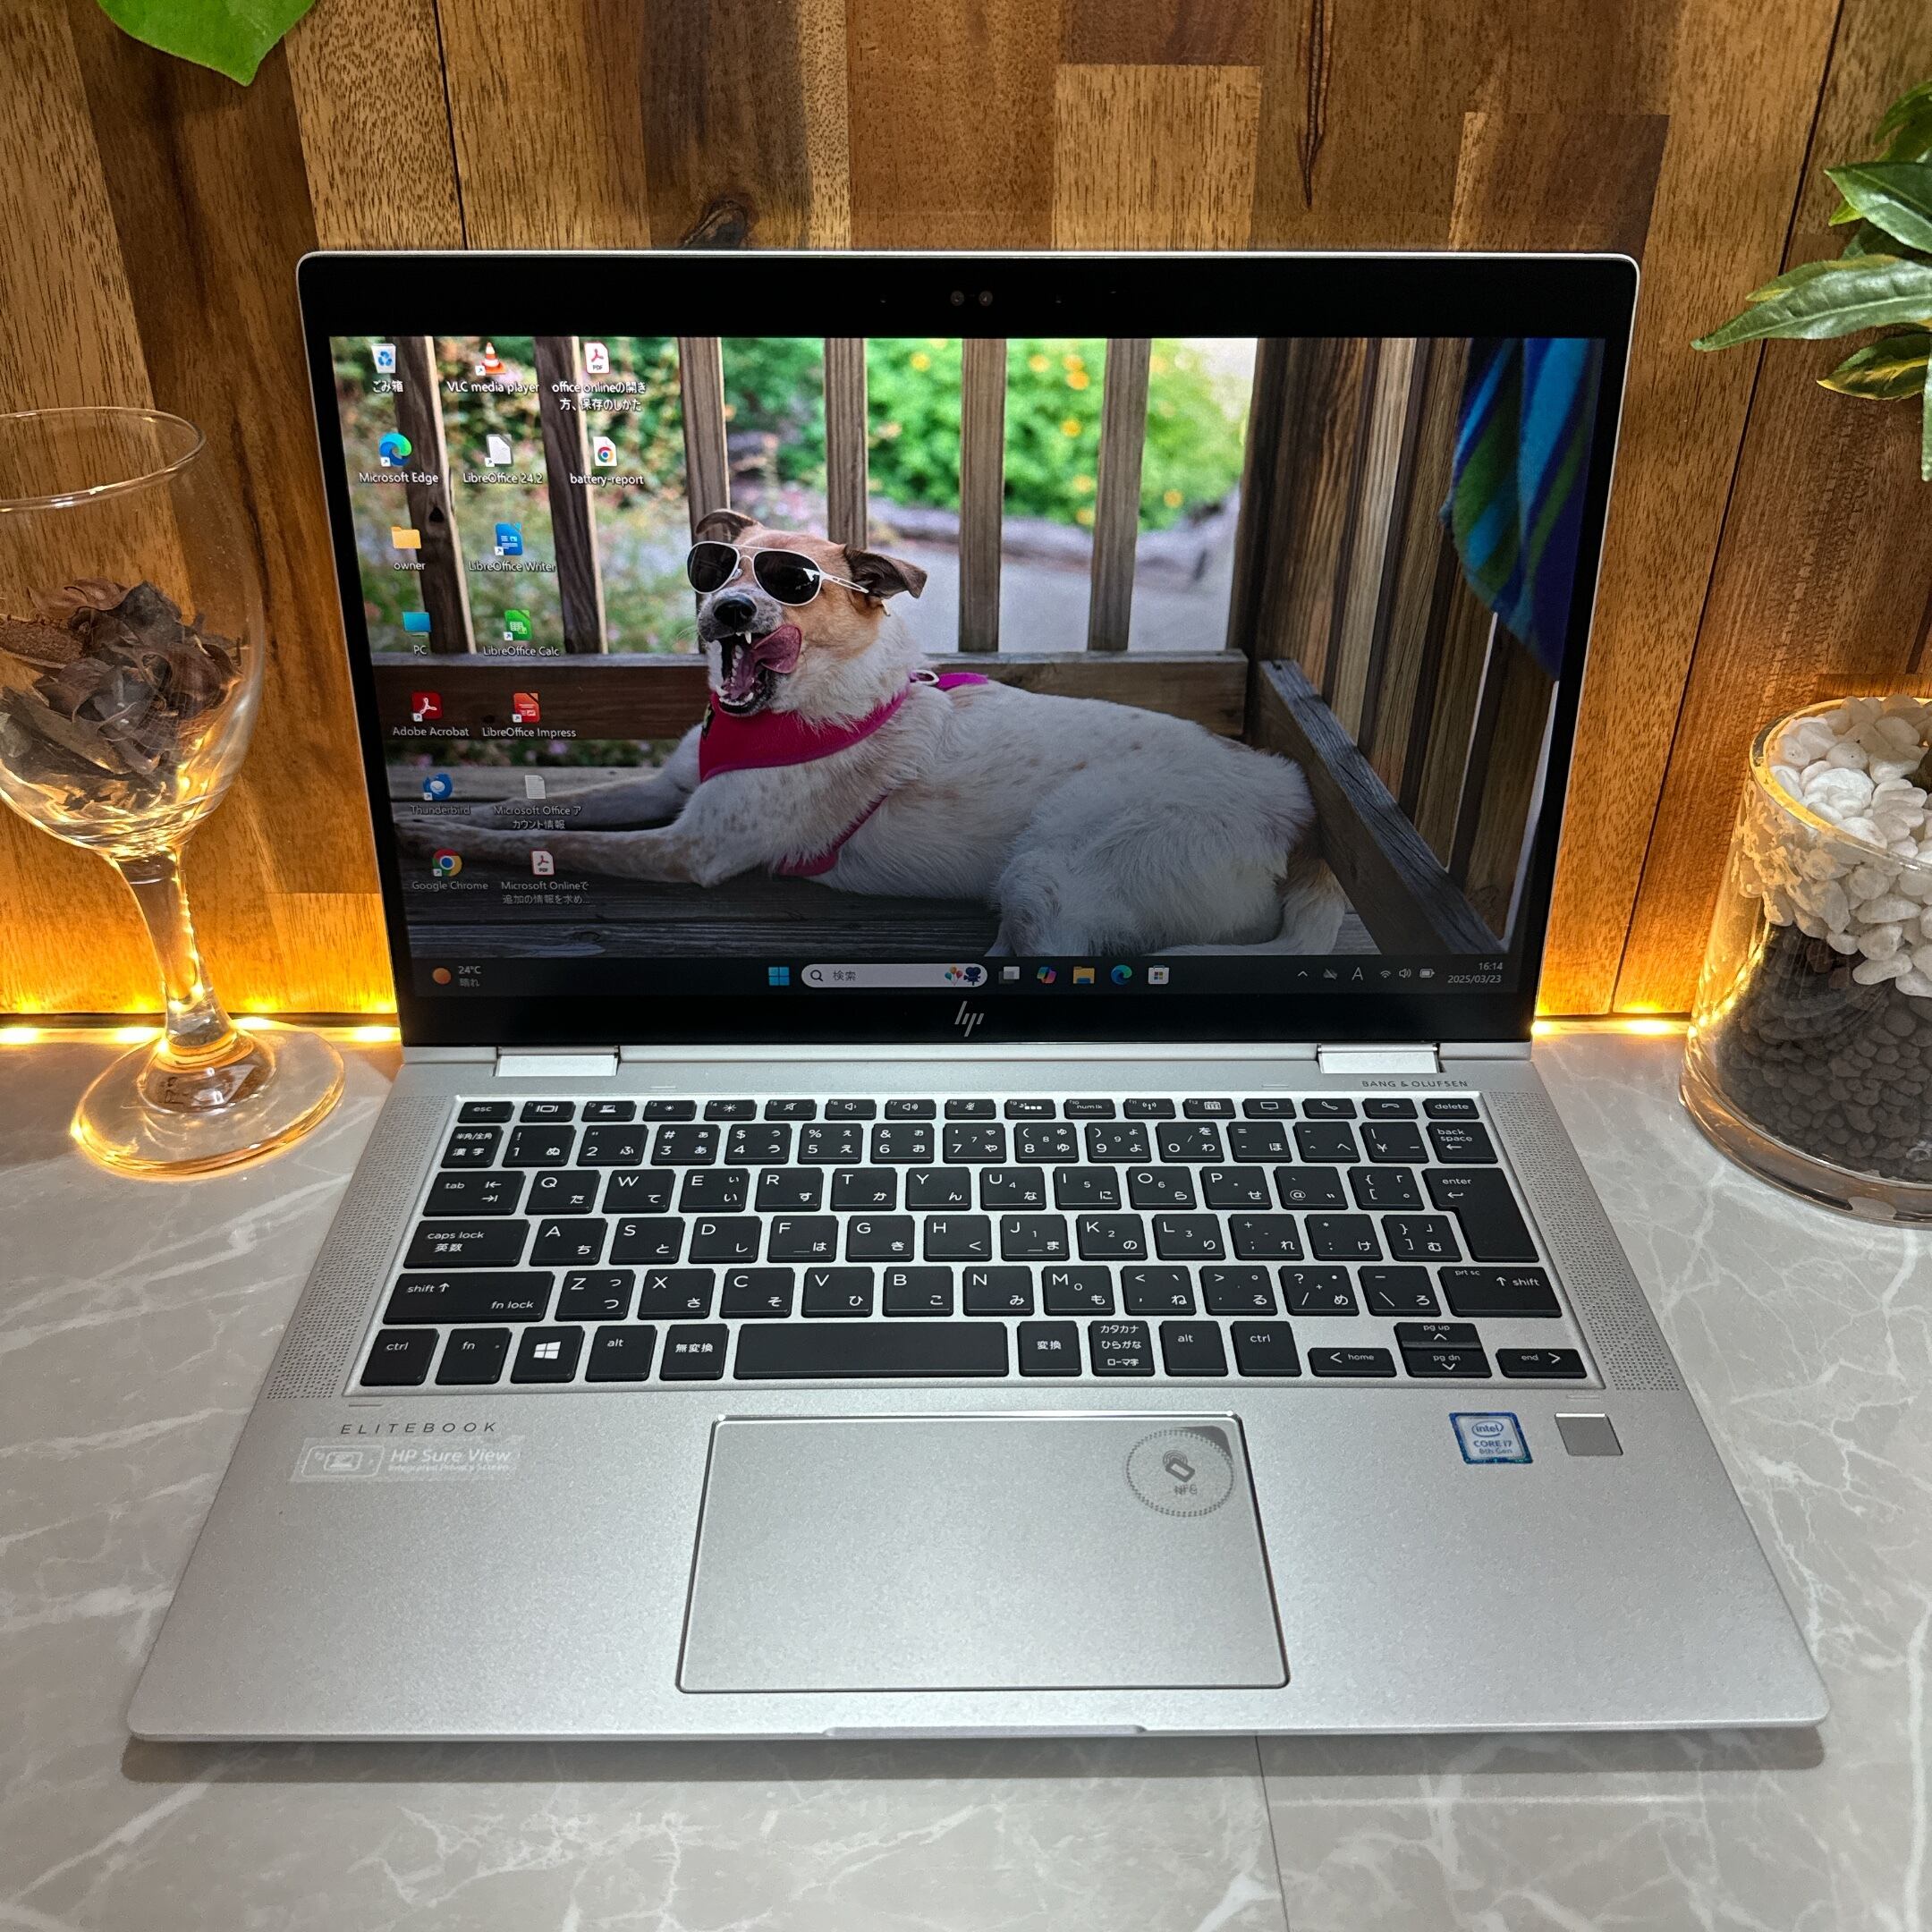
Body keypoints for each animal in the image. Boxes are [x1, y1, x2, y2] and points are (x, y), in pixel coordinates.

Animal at [398, 511, 1344, 957]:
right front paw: (437, 820)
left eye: (795, 583)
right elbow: (532, 818)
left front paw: (436, 838)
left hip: (1057, 868)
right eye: (717, 567)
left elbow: (548, 845)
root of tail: (1298, 818)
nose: (728, 611)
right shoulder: (668, 790)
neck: (785, 709)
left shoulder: (688, 850)